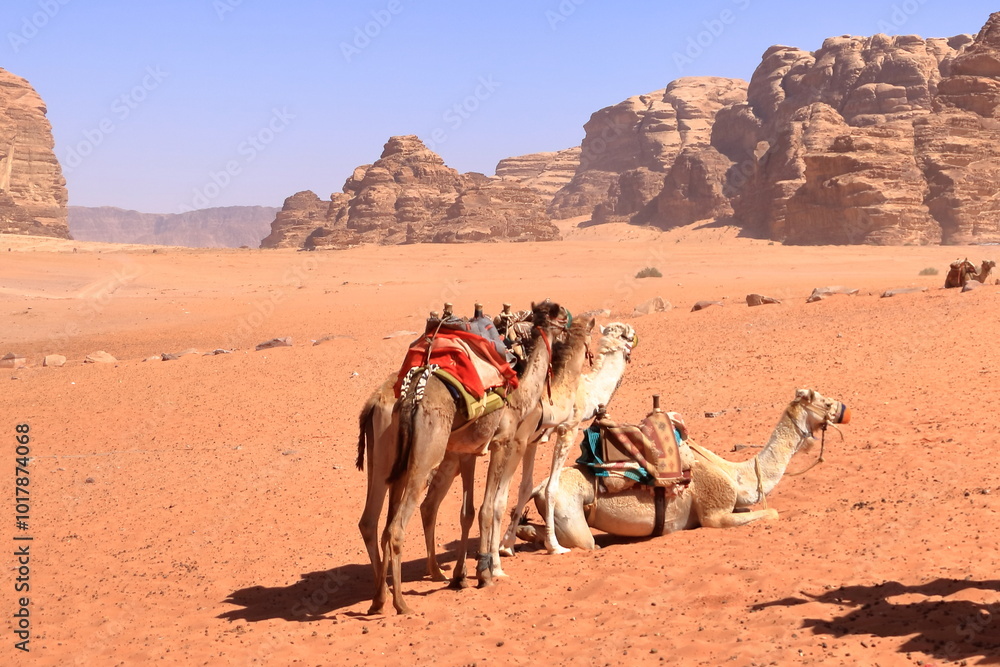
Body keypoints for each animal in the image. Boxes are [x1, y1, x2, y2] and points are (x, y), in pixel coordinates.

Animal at [363, 300, 565, 614]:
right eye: (561, 316)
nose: (570, 324)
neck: (519, 393)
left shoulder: (466, 451)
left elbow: (467, 512)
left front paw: (460, 576)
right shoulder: (501, 442)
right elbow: (488, 508)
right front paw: (485, 574)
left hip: (383, 459)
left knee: (372, 523)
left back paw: (380, 599)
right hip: (424, 459)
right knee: (395, 526)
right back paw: (401, 603)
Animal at [515, 389, 851, 549]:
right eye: (824, 401)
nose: (844, 410)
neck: (737, 474)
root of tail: (539, 489)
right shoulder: (715, 513)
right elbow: (772, 513)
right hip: (569, 511)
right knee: (586, 542)